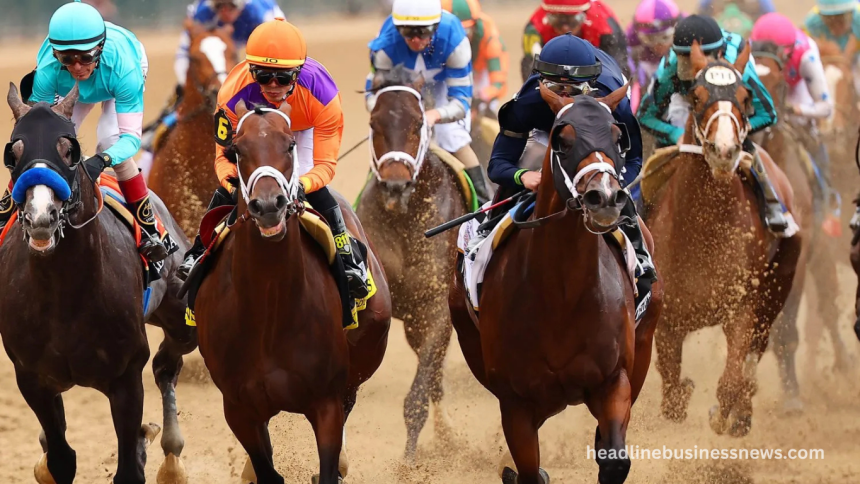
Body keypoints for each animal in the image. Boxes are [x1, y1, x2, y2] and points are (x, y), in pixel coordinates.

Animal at [1, 84, 198, 484]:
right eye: (14, 153)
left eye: (68, 151)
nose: (41, 217)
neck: (61, 290)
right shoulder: (32, 378)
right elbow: (61, 458)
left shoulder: (125, 377)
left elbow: (128, 468)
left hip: (182, 314)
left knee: (166, 365)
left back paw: (170, 457)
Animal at [192, 100, 391, 484]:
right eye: (237, 149)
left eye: (289, 146)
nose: (269, 205)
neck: (268, 305)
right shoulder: (239, 409)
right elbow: (267, 470)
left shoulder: (326, 403)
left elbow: (328, 467)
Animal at [354, 68, 466, 462]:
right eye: (374, 122)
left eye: (419, 122)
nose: (395, 185)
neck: (405, 220)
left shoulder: (434, 308)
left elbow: (417, 397)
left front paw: (407, 463)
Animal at [448, 83, 664, 484]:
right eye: (562, 140)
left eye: (618, 137)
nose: (604, 198)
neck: (563, 294)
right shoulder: (515, 401)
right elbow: (529, 471)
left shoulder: (614, 380)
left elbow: (614, 460)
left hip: (643, 346)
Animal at [645, 42, 802, 436]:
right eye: (696, 96)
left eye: (746, 97)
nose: (725, 150)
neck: (703, 234)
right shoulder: (667, 321)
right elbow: (672, 393)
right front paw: (685, 393)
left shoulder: (741, 309)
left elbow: (730, 381)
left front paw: (723, 414)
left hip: (778, 287)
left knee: (756, 352)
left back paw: (742, 415)